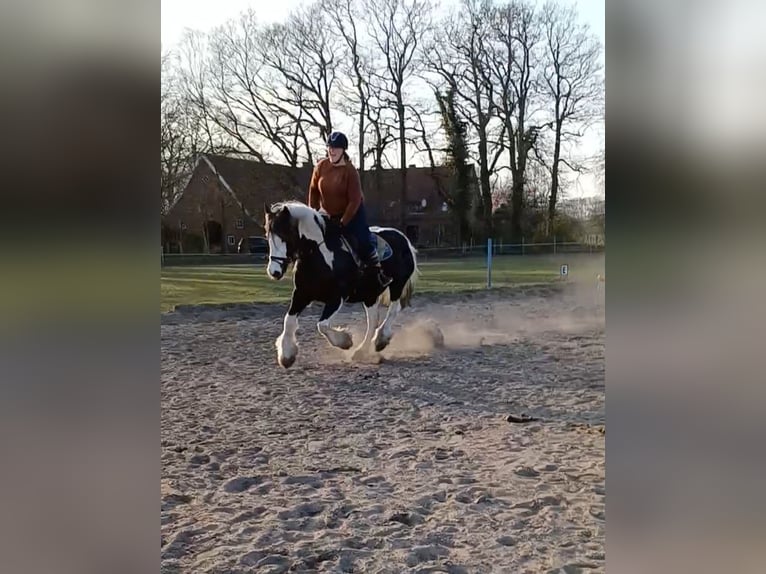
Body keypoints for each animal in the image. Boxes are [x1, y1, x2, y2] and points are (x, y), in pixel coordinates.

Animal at [264, 200, 420, 366]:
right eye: (268, 235)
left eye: (285, 234)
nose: (274, 271)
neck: (321, 256)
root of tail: (403, 239)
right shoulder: (301, 294)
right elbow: (289, 321)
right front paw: (287, 356)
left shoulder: (337, 297)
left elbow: (322, 325)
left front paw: (345, 341)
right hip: (369, 295)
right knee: (373, 321)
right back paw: (362, 350)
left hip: (397, 285)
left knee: (393, 309)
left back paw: (381, 339)